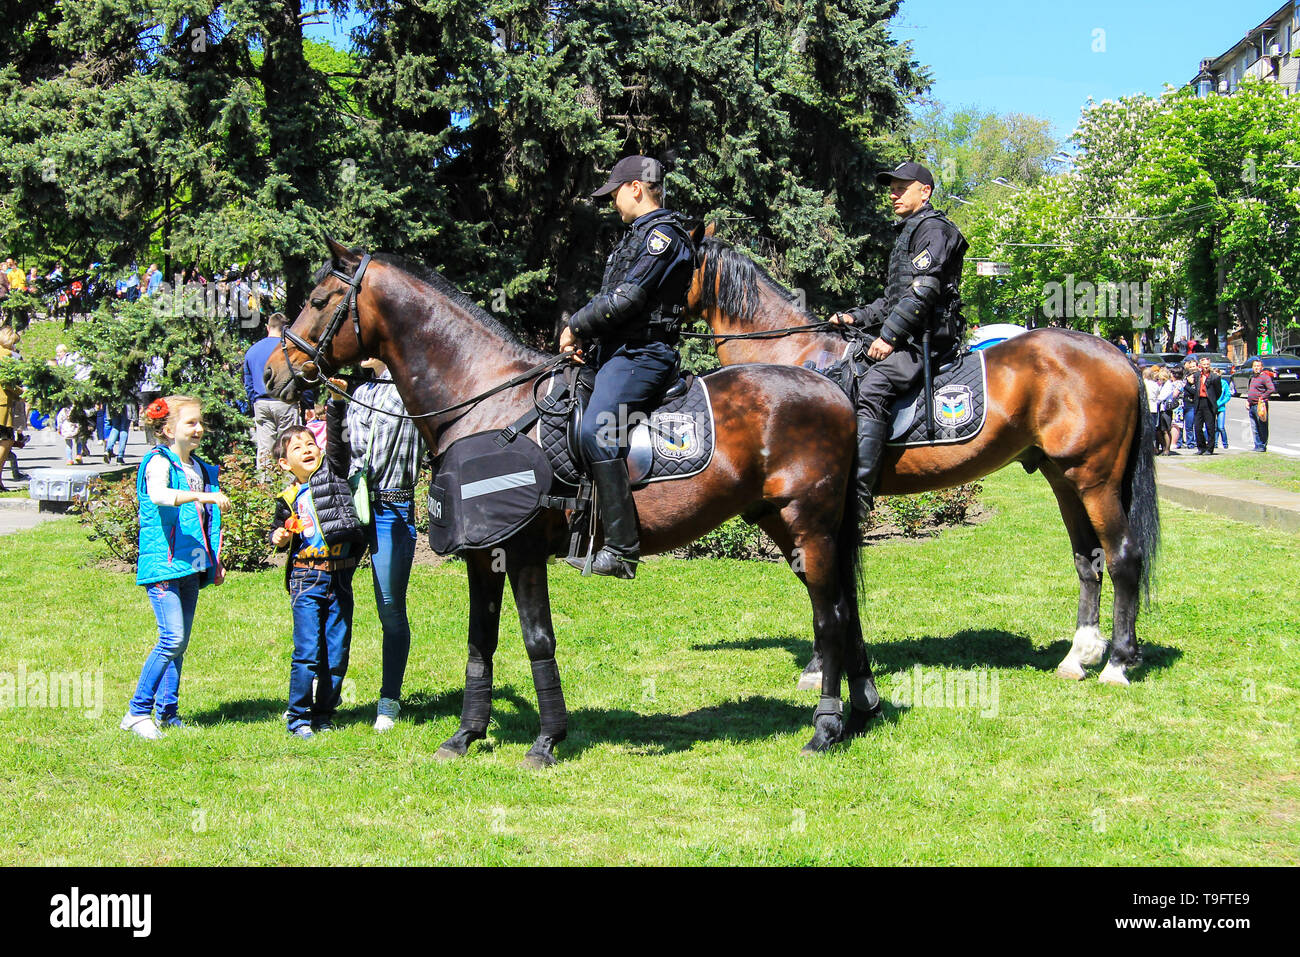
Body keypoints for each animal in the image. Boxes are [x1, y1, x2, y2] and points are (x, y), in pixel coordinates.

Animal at [264, 238, 881, 764]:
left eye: (318, 300)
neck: (484, 404)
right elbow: (480, 642)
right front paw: (466, 735)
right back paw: (860, 713)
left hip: (809, 528)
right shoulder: (482, 556)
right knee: (843, 611)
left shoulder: (523, 552)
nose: (273, 373)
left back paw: (826, 729)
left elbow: (537, 639)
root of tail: (832, 388)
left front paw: (546, 740)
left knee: (829, 617)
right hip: (788, 528)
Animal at [685, 233, 1161, 687]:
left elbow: (822, 582)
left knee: (1123, 556)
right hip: (1065, 479)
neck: (793, 361)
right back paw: (1078, 657)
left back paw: (1117, 663)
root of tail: (1118, 355)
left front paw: (821, 668)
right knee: (1087, 559)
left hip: (1096, 480)